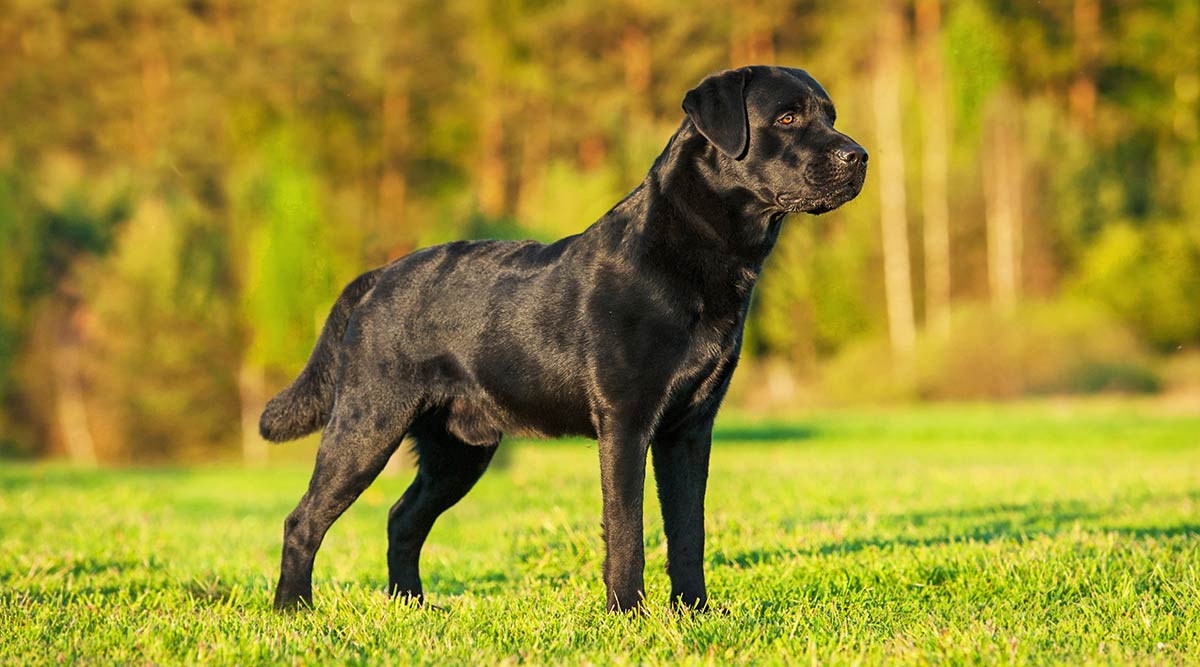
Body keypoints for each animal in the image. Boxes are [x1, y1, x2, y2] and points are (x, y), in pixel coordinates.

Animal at [260, 65, 864, 611]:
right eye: (786, 118)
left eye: (831, 116)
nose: (858, 156)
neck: (701, 255)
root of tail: (378, 276)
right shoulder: (626, 420)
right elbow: (627, 531)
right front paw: (628, 615)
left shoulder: (690, 427)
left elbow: (689, 531)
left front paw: (694, 613)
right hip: (368, 424)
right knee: (302, 520)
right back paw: (294, 609)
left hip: (460, 450)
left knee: (401, 518)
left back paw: (411, 606)